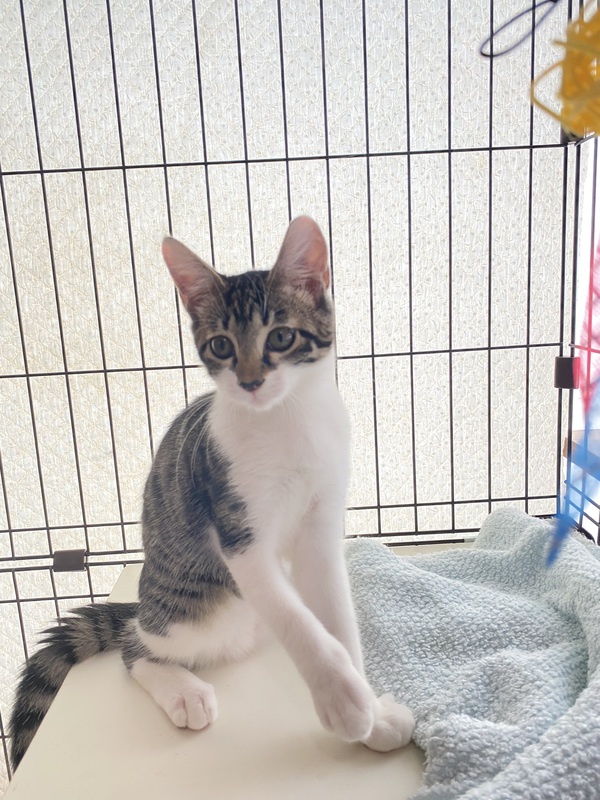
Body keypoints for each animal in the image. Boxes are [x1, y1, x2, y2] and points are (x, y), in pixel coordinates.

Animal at [9, 216, 414, 770]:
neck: (288, 422)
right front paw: (344, 701)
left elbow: (334, 615)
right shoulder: (236, 528)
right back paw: (182, 689)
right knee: (136, 646)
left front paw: (370, 709)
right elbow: (296, 619)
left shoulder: (322, 523)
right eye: (221, 345)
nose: (249, 382)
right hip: (192, 610)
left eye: (281, 336)